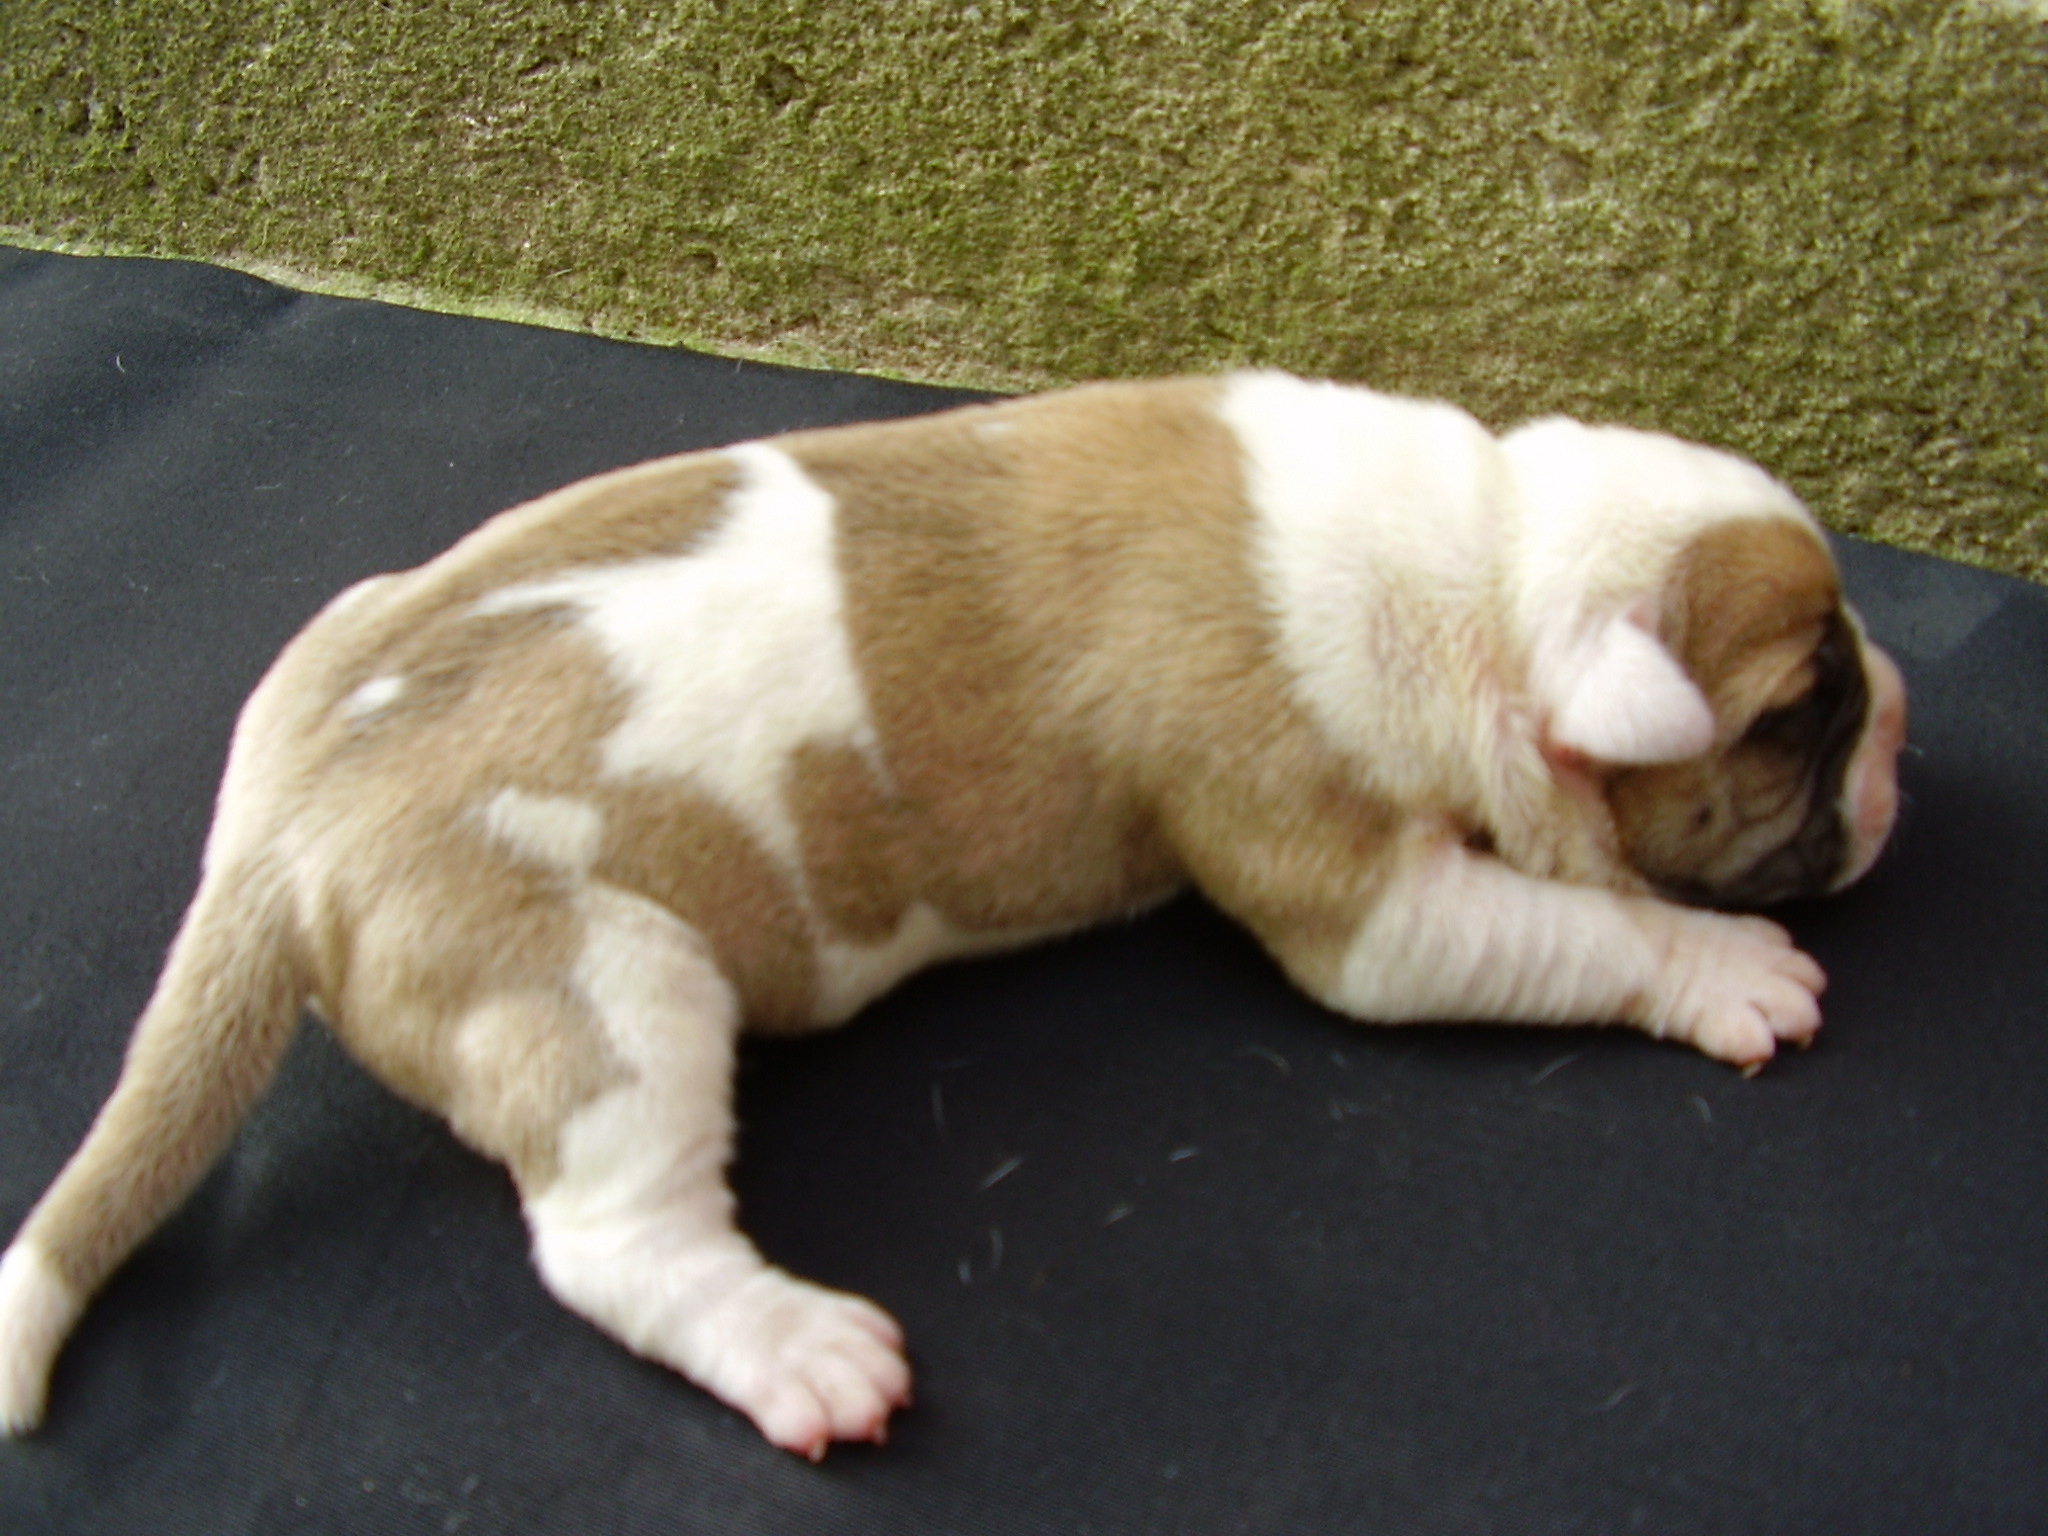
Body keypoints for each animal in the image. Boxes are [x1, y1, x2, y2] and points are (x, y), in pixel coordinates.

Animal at [0, 373, 1905, 1458]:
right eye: (1795, 713)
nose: (1898, 719)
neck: (1485, 561)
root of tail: (281, 835)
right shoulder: (1358, 899)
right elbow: (1576, 927)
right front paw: (1723, 969)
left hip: (338, 643)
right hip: (598, 981)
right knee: (612, 1236)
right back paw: (792, 1346)